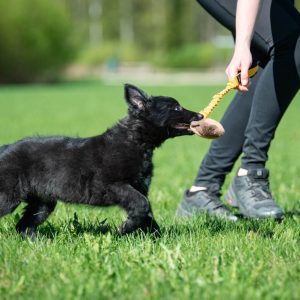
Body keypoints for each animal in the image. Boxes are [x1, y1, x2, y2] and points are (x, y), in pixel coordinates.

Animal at [0, 84, 202, 237]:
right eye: (176, 108)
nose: (200, 116)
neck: (135, 141)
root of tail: (5, 148)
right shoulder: (112, 186)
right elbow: (142, 204)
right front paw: (124, 229)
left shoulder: (140, 188)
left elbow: (147, 213)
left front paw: (157, 239)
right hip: (9, 196)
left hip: (43, 202)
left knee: (24, 226)